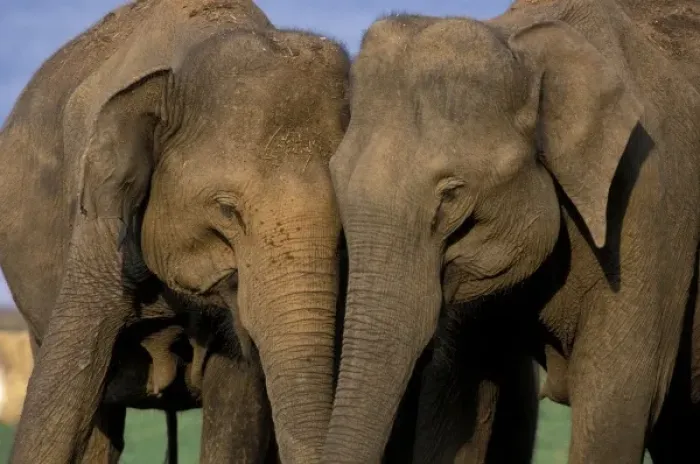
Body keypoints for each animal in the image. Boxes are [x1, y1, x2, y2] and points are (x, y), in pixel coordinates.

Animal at [324, 0, 700, 463]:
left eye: (452, 194)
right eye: (335, 179)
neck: (522, 43)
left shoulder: (649, 202)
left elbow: (617, 405)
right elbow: (456, 404)